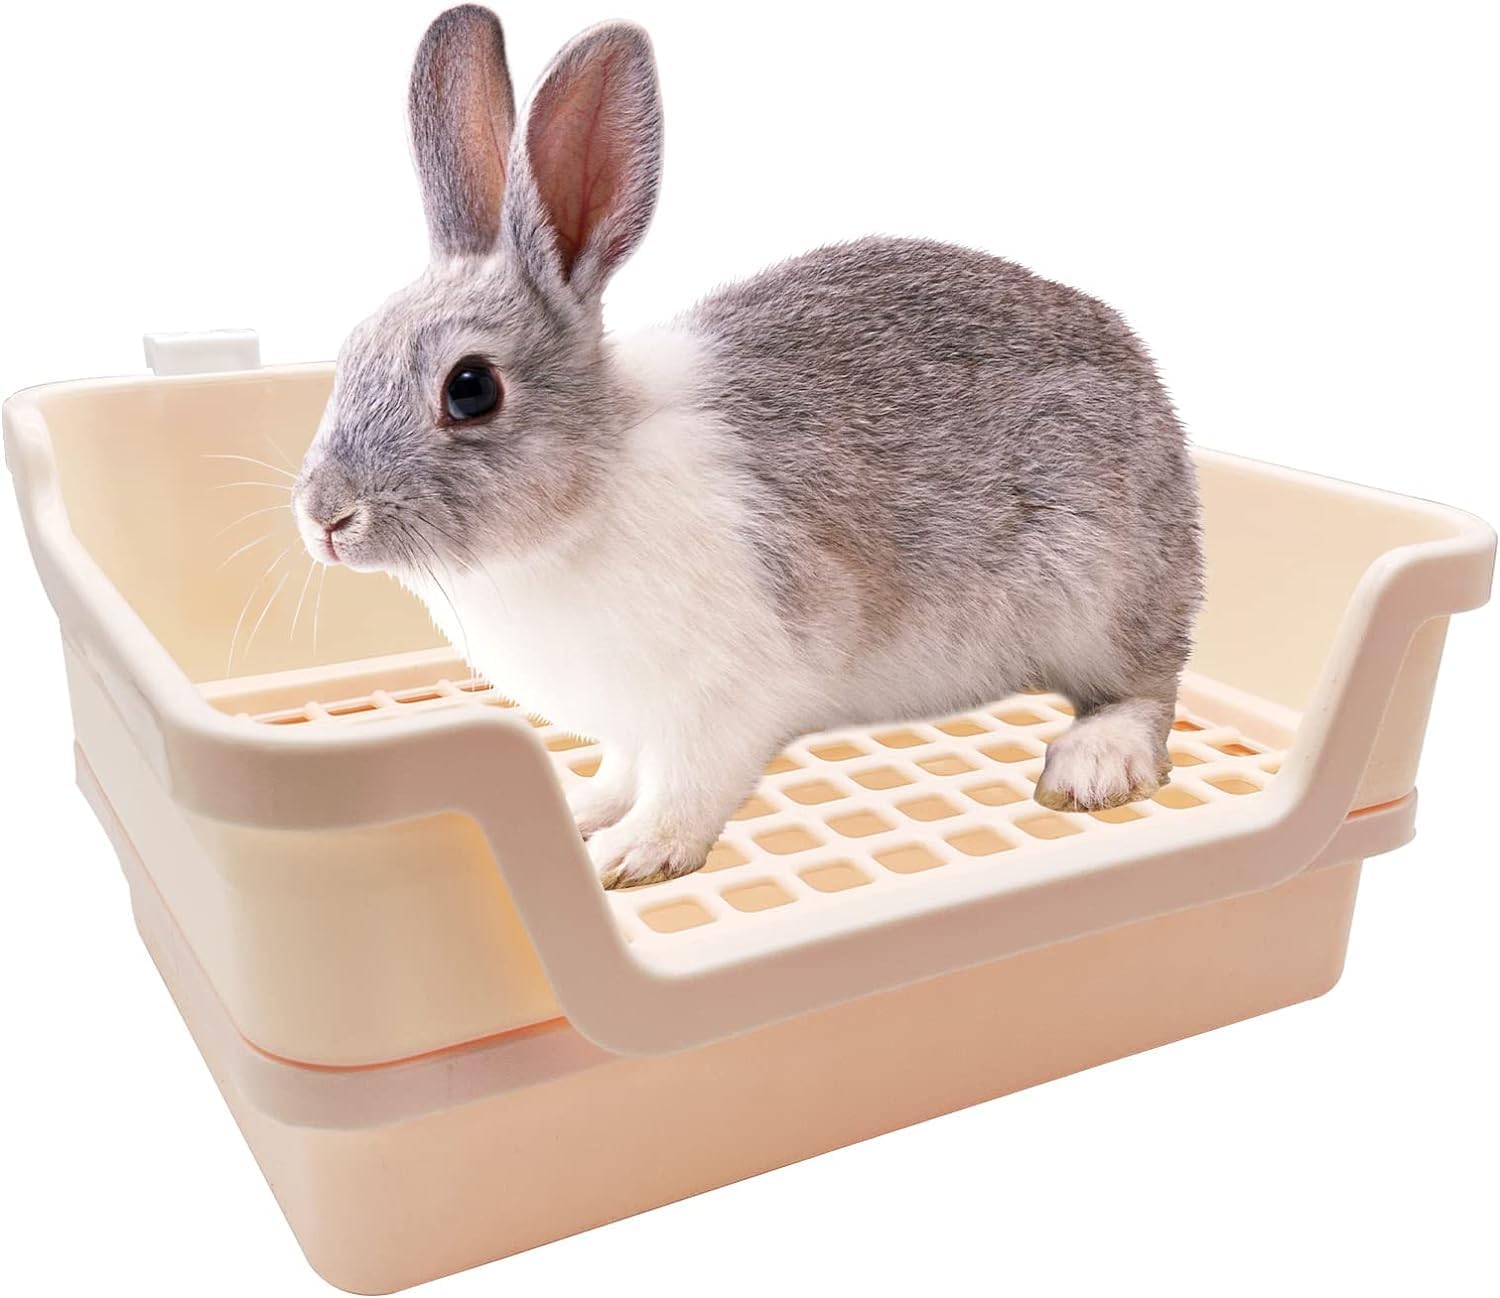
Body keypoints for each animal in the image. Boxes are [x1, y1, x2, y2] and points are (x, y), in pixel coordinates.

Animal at [292, 4, 1203, 890]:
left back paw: (1094, 766)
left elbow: (686, 788)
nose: (325, 519)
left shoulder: (723, 702)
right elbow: (622, 770)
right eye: (354, 351)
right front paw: (587, 809)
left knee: (1150, 691)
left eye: (471, 388)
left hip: (1099, 595)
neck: (587, 495)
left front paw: (637, 854)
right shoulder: (634, 723)